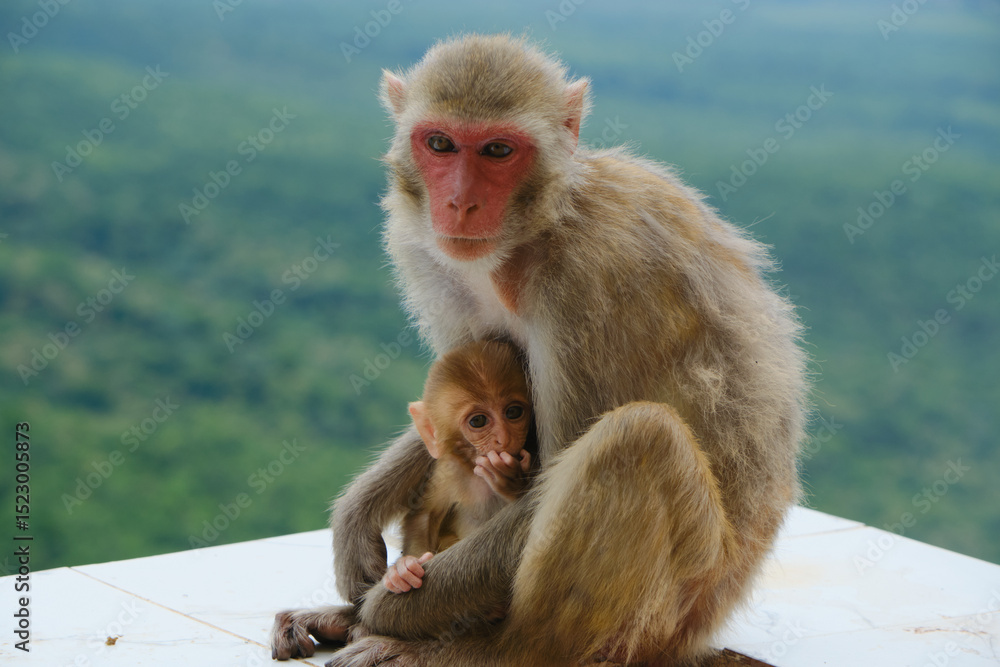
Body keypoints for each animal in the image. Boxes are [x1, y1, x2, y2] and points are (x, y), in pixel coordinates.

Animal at [383, 339, 534, 595]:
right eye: (478, 421)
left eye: (513, 412)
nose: (503, 439)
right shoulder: (448, 471)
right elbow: (424, 515)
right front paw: (404, 568)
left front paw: (511, 480)